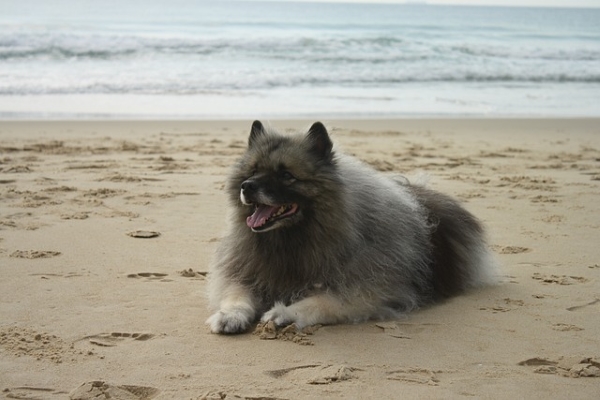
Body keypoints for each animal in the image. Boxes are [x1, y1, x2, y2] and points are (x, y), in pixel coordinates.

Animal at [206, 120, 496, 332]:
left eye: (286, 175)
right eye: (253, 171)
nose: (247, 187)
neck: (294, 239)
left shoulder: (372, 289)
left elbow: (324, 300)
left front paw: (285, 312)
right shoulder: (245, 270)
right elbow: (237, 293)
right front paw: (229, 315)